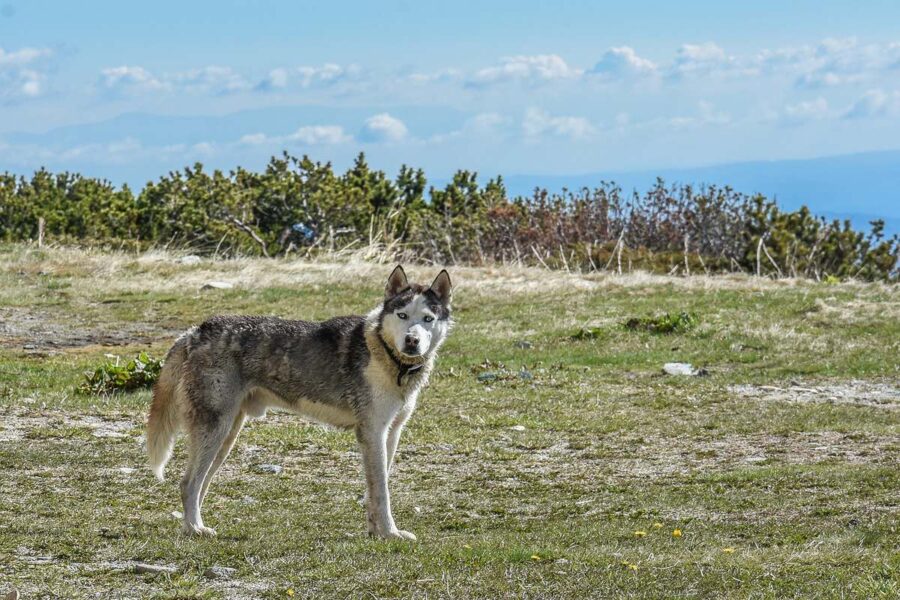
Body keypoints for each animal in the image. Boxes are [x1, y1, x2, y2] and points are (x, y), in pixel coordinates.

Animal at [150, 266, 454, 540]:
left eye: (427, 319)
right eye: (403, 315)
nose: (412, 341)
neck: (388, 356)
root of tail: (194, 332)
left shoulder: (391, 433)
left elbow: (375, 490)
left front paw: (375, 532)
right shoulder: (372, 433)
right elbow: (382, 492)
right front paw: (390, 534)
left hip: (225, 438)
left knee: (200, 486)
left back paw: (196, 526)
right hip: (215, 432)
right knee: (188, 483)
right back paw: (194, 529)